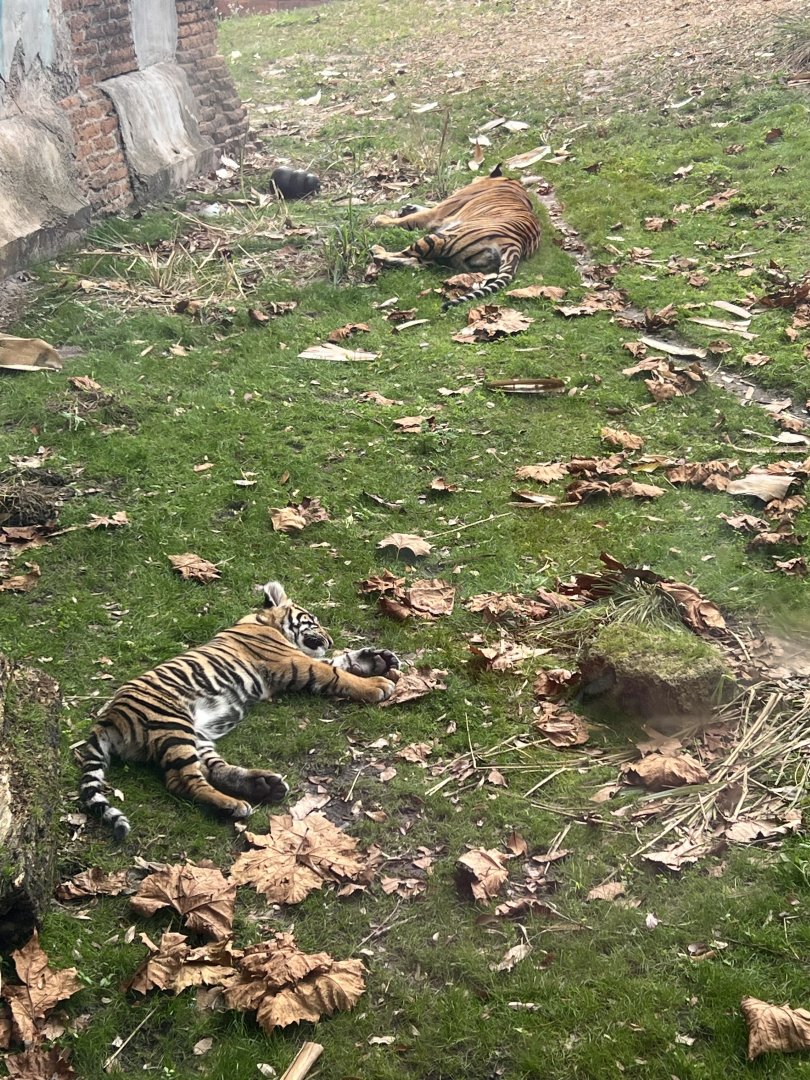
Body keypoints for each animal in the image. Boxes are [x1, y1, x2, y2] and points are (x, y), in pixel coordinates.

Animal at [79, 581, 399, 839]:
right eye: (314, 621)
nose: (330, 640)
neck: (264, 622)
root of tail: (105, 719)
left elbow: (338, 662)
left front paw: (378, 658)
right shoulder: (292, 661)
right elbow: (335, 673)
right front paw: (377, 685)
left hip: (197, 734)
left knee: (213, 769)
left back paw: (264, 786)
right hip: (172, 723)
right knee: (181, 780)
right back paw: (234, 805)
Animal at [370, 176, 541, 308]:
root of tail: (516, 243)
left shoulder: (438, 212)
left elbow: (410, 219)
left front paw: (380, 219)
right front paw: (409, 207)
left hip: (441, 237)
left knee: (404, 254)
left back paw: (377, 251)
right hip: (449, 257)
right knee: (417, 262)